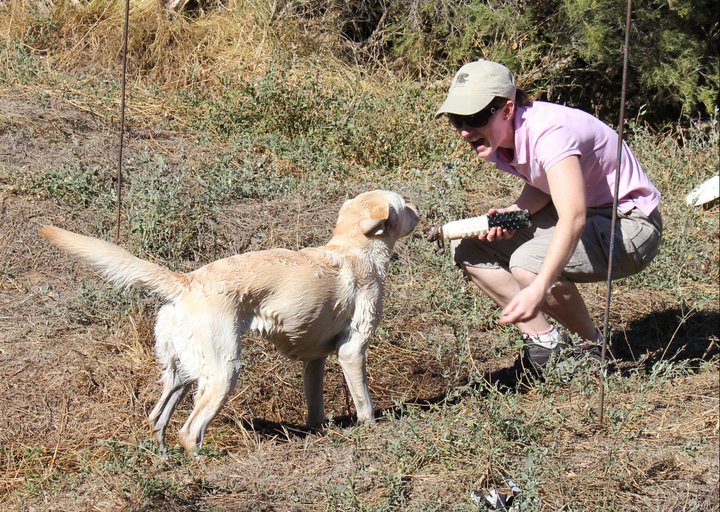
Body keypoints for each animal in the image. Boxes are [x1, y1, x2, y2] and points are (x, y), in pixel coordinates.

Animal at [39, 190, 419, 452]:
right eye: (404, 205)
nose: (419, 210)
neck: (354, 247)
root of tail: (187, 281)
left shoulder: (314, 360)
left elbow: (314, 405)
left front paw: (317, 433)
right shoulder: (352, 350)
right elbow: (364, 402)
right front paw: (372, 430)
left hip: (184, 372)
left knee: (157, 419)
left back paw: (162, 458)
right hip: (224, 370)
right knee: (189, 431)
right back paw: (202, 462)